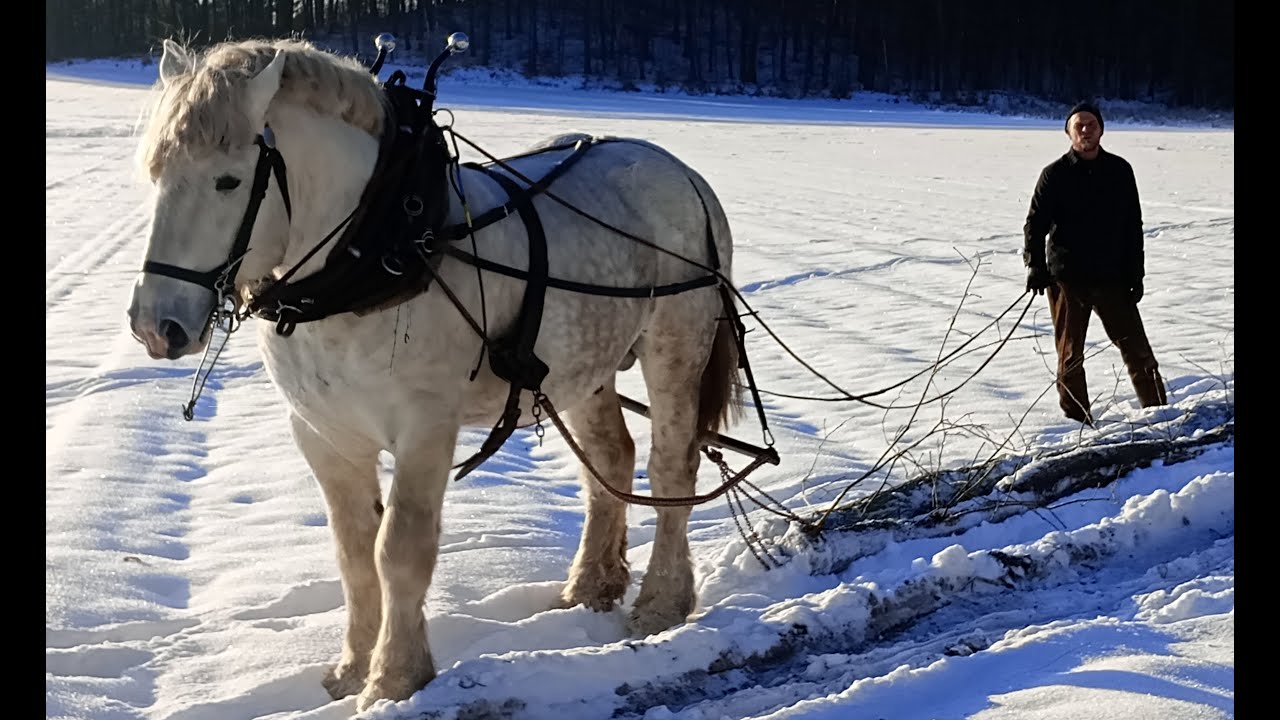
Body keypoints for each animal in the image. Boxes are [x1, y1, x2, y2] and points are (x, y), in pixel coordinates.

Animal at [125, 36, 743, 710]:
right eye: (154, 175)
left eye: (228, 180)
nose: (156, 325)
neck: (372, 251)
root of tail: (677, 167)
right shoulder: (322, 434)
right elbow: (353, 553)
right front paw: (352, 669)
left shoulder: (424, 427)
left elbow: (400, 550)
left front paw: (394, 678)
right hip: (584, 361)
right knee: (609, 457)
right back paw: (591, 585)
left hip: (678, 340)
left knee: (672, 466)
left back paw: (662, 602)